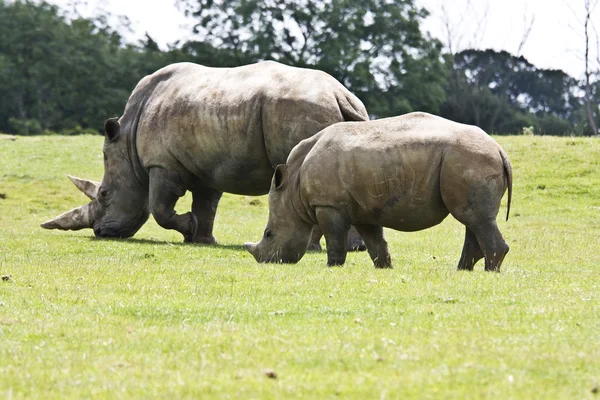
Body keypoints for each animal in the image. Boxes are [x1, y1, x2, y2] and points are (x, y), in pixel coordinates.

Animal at [41, 61, 370, 247]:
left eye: (105, 194)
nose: (100, 232)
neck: (127, 142)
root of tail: (340, 95)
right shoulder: (207, 166)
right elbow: (206, 204)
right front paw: (201, 239)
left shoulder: (161, 162)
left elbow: (159, 207)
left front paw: (188, 228)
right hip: (335, 113)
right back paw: (354, 248)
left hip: (298, 111)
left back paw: (316, 248)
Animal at [246, 111, 512, 270]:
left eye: (269, 234)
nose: (267, 262)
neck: (292, 190)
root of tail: (500, 150)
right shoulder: (363, 209)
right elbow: (375, 241)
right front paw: (385, 268)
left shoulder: (328, 204)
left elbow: (335, 239)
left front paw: (333, 267)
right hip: (469, 161)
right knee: (473, 219)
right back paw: (463, 270)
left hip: (469, 160)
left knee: (475, 218)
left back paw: (489, 271)